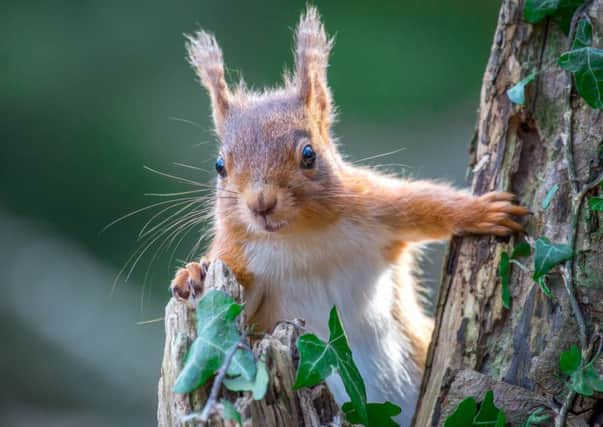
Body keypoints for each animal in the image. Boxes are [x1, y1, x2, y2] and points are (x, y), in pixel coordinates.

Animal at [170, 7, 528, 427]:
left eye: (309, 155)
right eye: (220, 166)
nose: (260, 203)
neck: (301, 238)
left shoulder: (376, 208)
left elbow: (426, 204)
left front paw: (482, 211)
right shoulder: (240, 254)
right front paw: (193, 275)